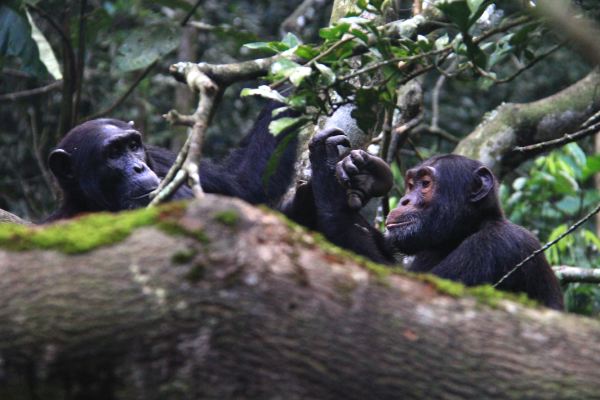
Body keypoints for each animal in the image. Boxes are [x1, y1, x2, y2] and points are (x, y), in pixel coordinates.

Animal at [298, 128, 564, 310]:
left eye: (425, 184)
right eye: (410, 184)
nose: (404, 200)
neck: (464, 231)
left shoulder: (496, 247)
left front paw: (325, 162)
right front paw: (365, 175)